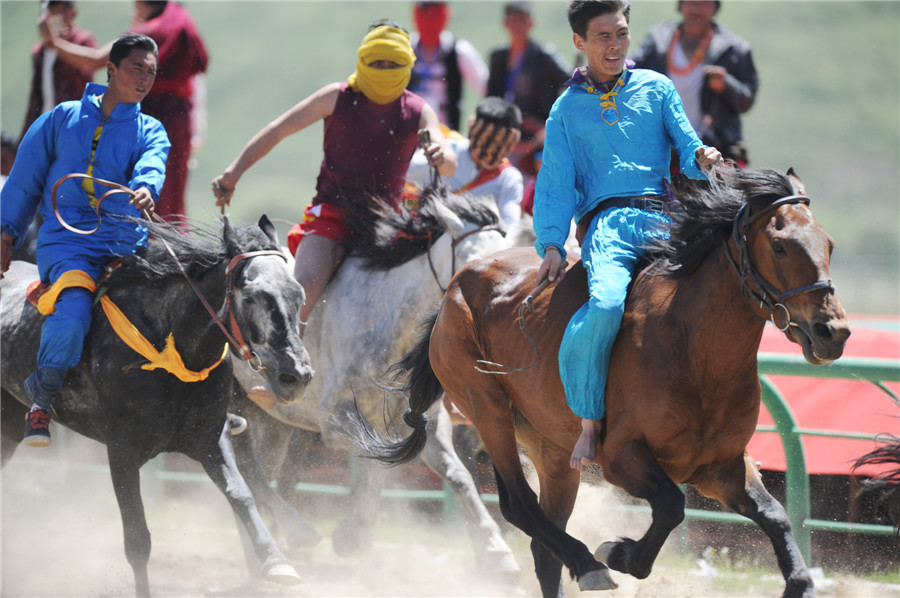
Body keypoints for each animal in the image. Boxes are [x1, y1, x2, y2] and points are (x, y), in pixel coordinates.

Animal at [0, 217, 314, 598]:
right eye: (251, 296)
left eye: (298, 294)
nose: (296, 375)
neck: (170, 347)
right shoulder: (121, 448)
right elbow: (138, 539)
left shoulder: (210, 438)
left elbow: (241, 494)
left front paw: (277, 561)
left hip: (8, 425)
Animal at [229, 186, 516, 572]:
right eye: (476, 266)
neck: (387, 317)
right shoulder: (336, 419)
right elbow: (379, 456)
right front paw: (351, 533)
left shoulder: (426, 420)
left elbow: (456, 474)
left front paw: (494, 550)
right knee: (248, 469)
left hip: (273, 422)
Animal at [350, 166, 852, 596]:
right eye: (780, 246)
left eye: (829, 244)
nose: (834, 331)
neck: (692, 349)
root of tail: (457, 284)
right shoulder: (622, 456)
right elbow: (670, 505)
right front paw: (620, 553)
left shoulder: (721, 467)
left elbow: (774, 515)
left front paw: (800, 580)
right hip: (487, 407)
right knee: (518, 504)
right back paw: (588, 562)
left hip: (554, 453)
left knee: (543, 544)